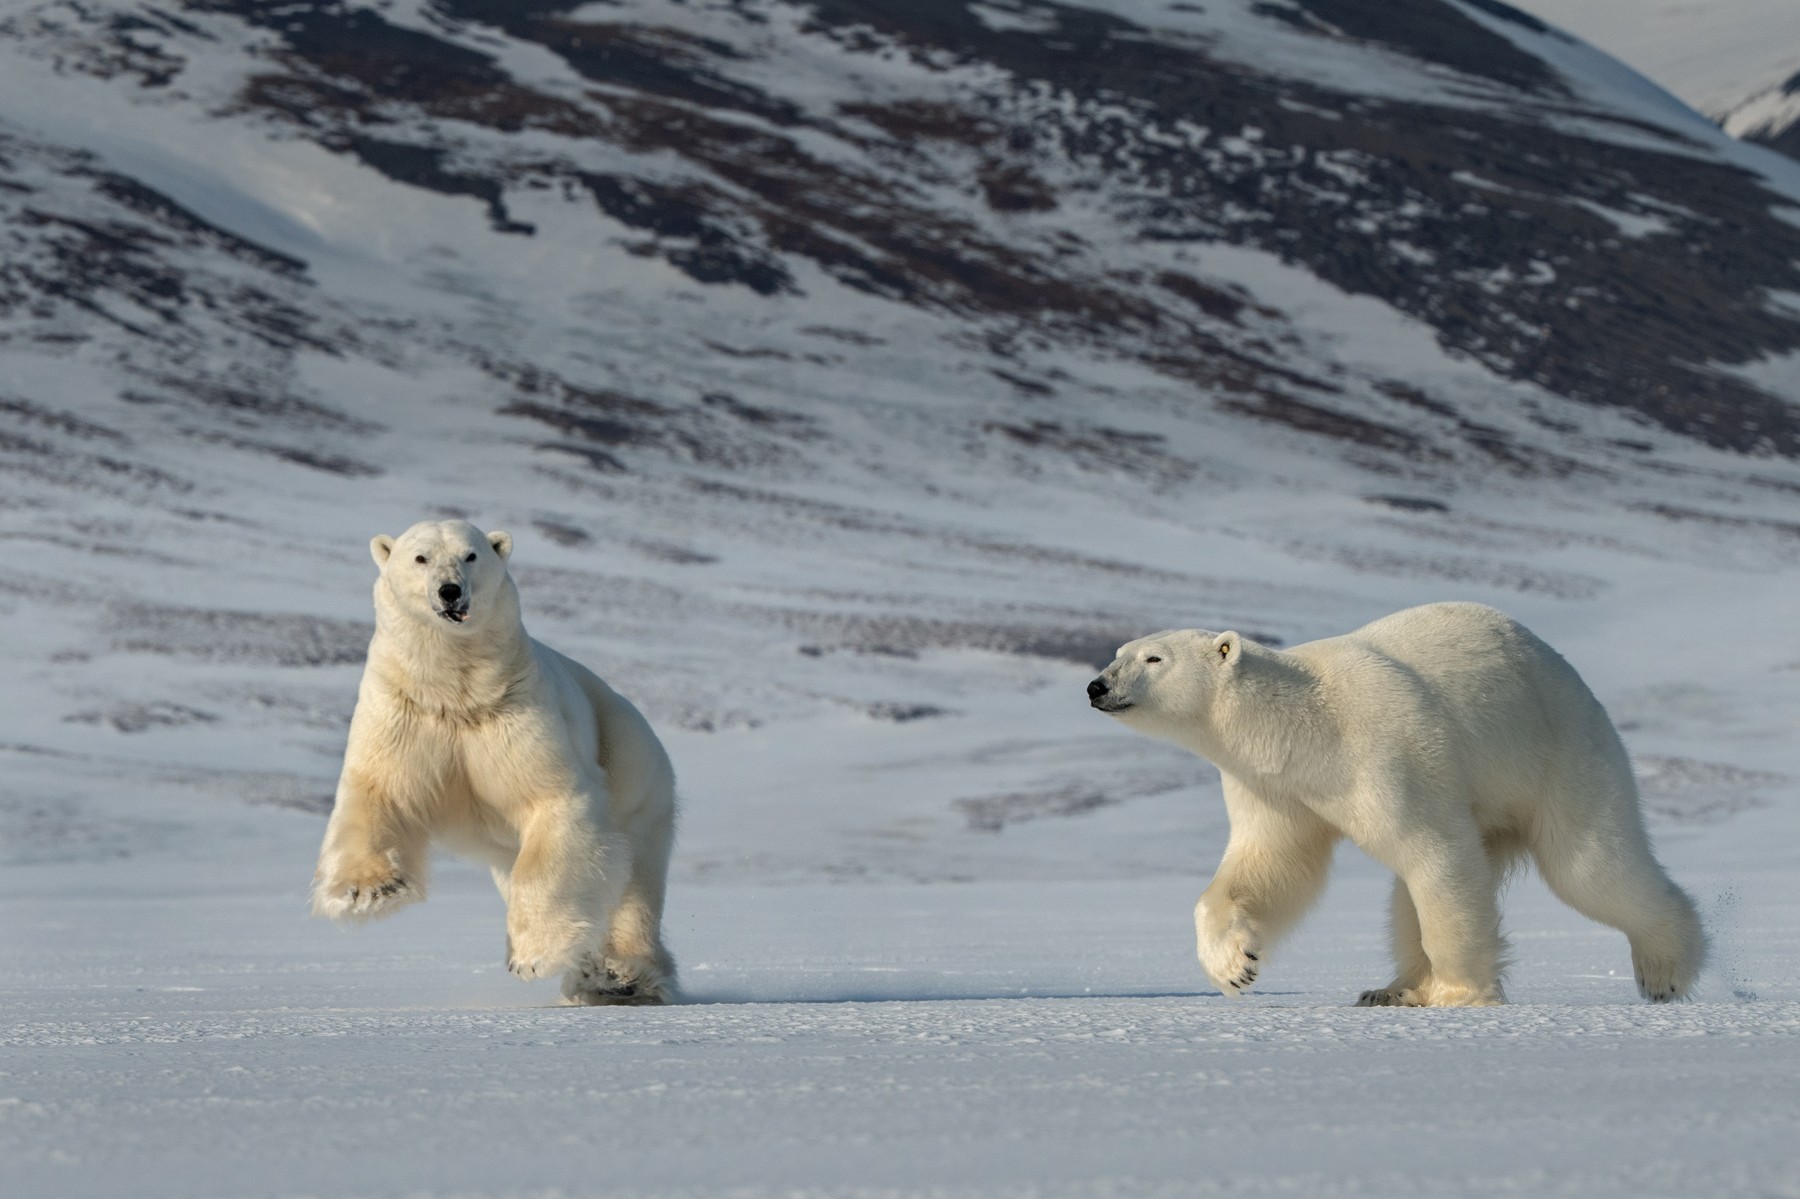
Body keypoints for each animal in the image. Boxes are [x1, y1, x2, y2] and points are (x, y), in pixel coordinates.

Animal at [312, 519, 678, 1005]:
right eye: (420, 557)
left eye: (471, 555)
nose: (450, 591)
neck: (455, 691)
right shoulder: (403, 709)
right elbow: (380, 791)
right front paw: (369, 888)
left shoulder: (516, 712)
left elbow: (551, 801)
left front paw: (532, 956)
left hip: (631, 771)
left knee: (633, 877)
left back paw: (619, 975)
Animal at [1088, 601, 1706, 1007]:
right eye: (1116, 652)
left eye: (1153, 658)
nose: (1097, 686)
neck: (1303, 725)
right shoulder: (1273, 785)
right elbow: (1273, 864)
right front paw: (1235, 966)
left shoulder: (1386, 752)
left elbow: (1435, 853)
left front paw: (1460, 993)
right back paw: (1391, 988)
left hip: (1561, 757)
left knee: (1590, 869)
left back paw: (1666, 972)